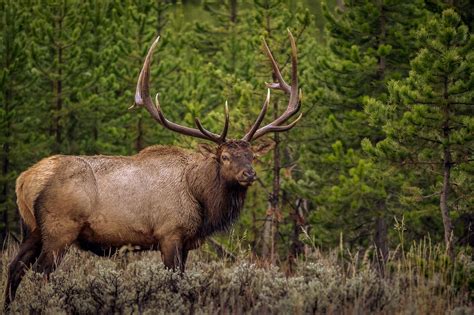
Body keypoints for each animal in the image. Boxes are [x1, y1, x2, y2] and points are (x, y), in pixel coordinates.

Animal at [2, 30, 300, 308]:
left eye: (251, 156)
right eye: (225, 157)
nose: (248, 174)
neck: (201, 200)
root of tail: (24, 180)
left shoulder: (185, 241)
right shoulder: (169, 233)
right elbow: (173, 282)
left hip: (32, 228)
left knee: (15, 266)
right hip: (59, 228)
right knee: (41, 272)